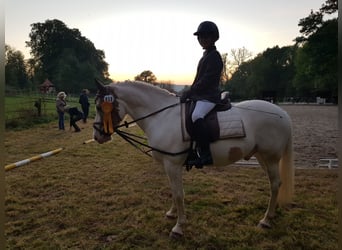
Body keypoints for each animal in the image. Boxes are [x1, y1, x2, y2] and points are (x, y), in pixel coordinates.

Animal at [93, 79, 294, 238]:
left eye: (99, 107)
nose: (97, 136)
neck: (161, 116)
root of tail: (282, 113)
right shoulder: (170, 166)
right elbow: (174, 192)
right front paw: (172, 214)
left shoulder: (172, 165)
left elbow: (178, 194)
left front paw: (178, 227)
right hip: (262, 157)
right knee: (275, 184)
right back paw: (271, 215)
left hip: (270, 158)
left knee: (275, 184)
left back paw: (265, 220)